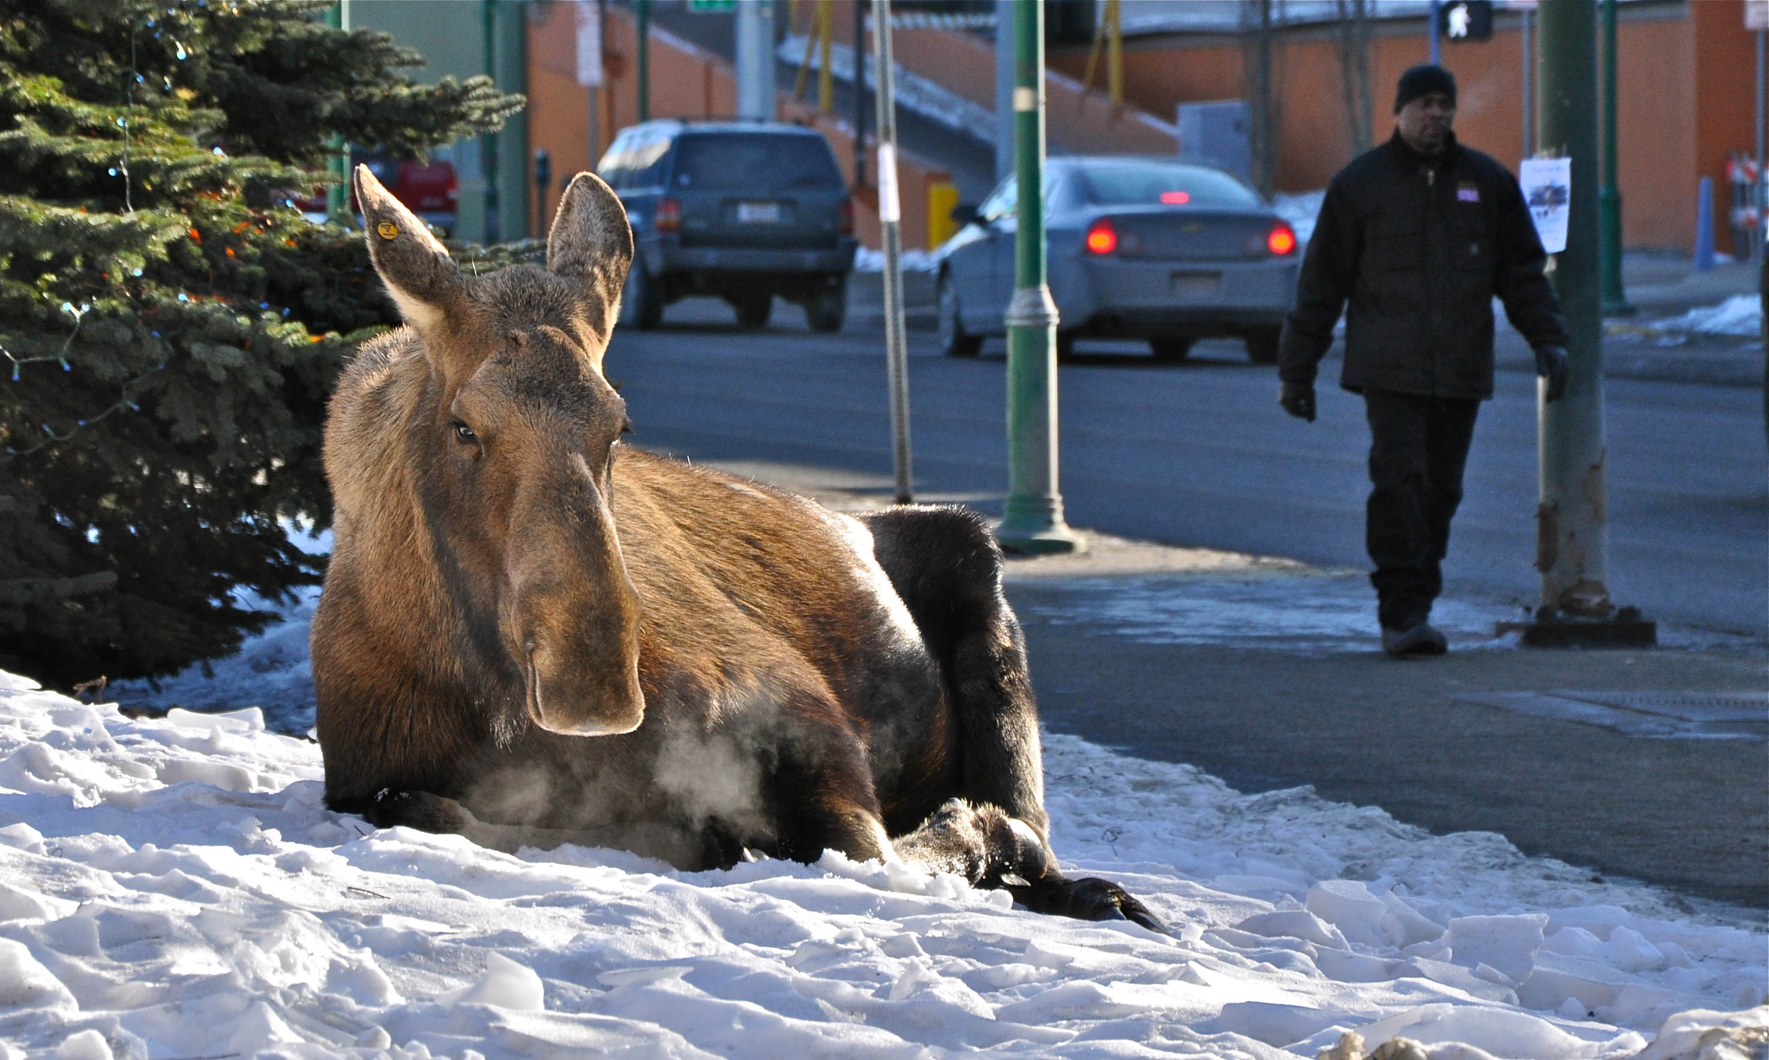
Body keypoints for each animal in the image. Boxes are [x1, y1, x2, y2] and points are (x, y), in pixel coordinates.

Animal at [309, 163, 1153, 927]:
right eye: (463, 426)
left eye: (619, 424)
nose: (593, 682)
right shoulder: (365, 777)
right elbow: (430, 807)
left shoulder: (801, 712)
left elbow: (869, 849)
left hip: (980, 584)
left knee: (1032, 829)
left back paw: (1098, 891)